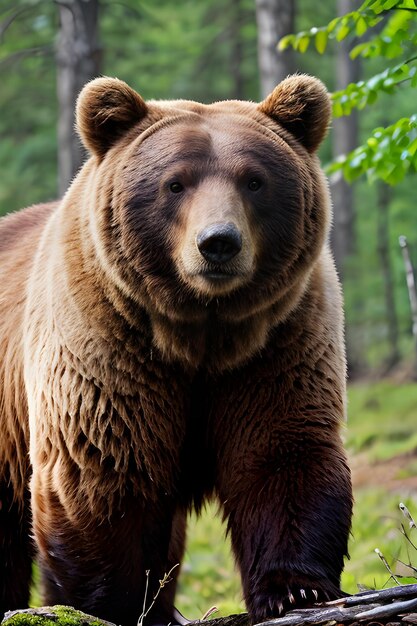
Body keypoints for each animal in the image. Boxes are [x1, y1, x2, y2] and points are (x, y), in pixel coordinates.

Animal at [0, 74, 352, 624]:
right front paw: (110, 605)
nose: (219, 242)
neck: (200, 330)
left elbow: (282, 452)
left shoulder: (279, 341)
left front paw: (296, 589)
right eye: (175, 183)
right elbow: (104, 474)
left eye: (254, 181)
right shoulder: (106, 347)